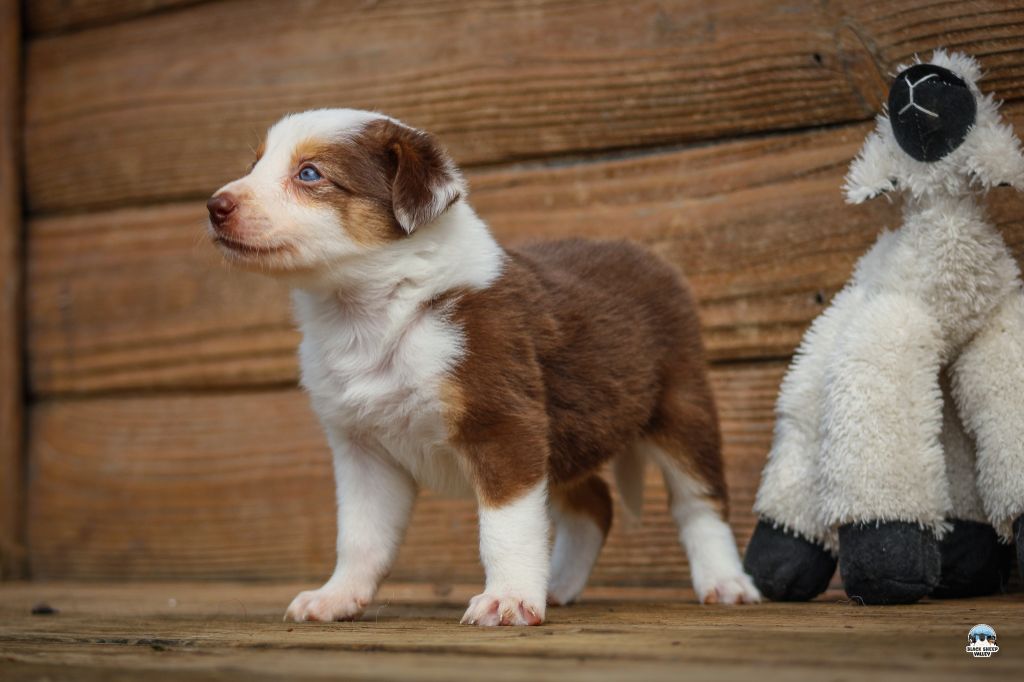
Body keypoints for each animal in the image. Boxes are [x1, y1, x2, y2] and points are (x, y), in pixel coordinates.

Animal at [205, 109, 761, 622]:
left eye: (310, 173)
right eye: (254, 164)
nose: (214, 206)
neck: (370, 314)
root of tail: (650, 258)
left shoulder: (502, 424)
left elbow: (506, 527)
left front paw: (508, 600)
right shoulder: (362, 447)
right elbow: (361, 535)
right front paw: (334, 598)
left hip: (680, 405)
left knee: (699, 502)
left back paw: (726, 584)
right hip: (569, 430)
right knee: (595, 503)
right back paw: (558, 585)